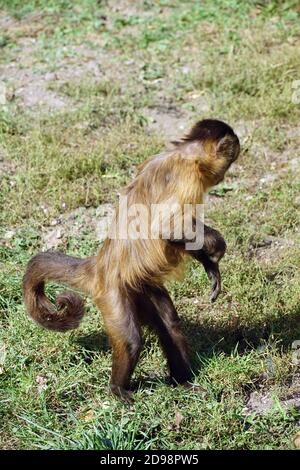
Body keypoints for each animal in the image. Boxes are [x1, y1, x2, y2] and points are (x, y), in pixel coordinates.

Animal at [22, 119, 240, 402]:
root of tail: (99, 265)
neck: (183, 153)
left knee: (170, 325)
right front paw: (215, 247)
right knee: (129, 339)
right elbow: (167, 228)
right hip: (111, 293)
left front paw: (211, 266)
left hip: (140, 286)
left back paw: (181, 382)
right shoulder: (187, 176)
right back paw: (117, 388)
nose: (224, 174)